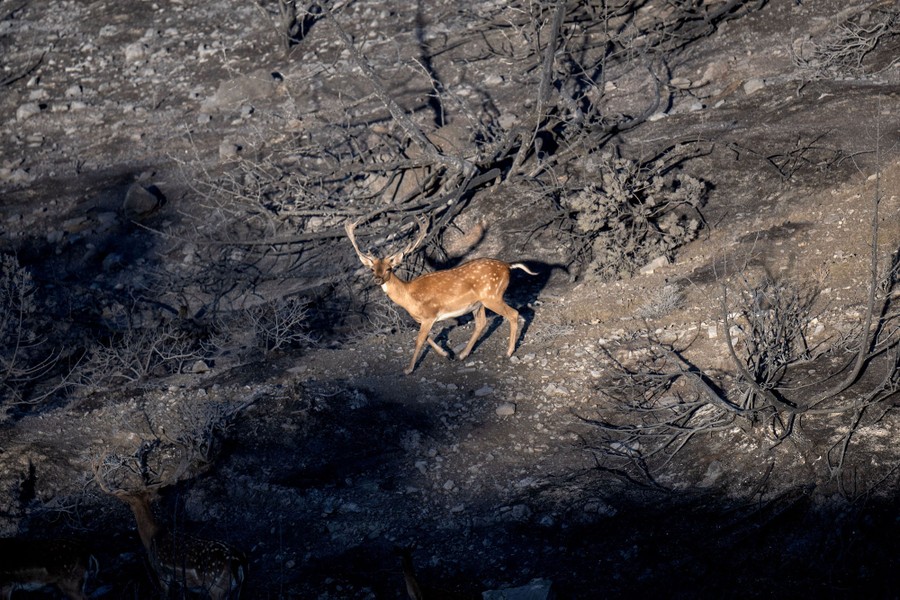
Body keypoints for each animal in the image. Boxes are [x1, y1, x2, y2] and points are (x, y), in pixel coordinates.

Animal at [345, 217, 536, 374]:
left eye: (388, 269)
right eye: (372, 269)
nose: (377, 279)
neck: (409, 297)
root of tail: (508, 266)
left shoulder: (430, 314)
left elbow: (419, 340)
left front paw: (408, 369)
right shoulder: (423, 319)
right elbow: (427, 337)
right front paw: (446, 354)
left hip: (492, 296)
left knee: (513, 313)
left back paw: (509, 351)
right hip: (479, 303)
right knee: (482, 323)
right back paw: (462, 354)